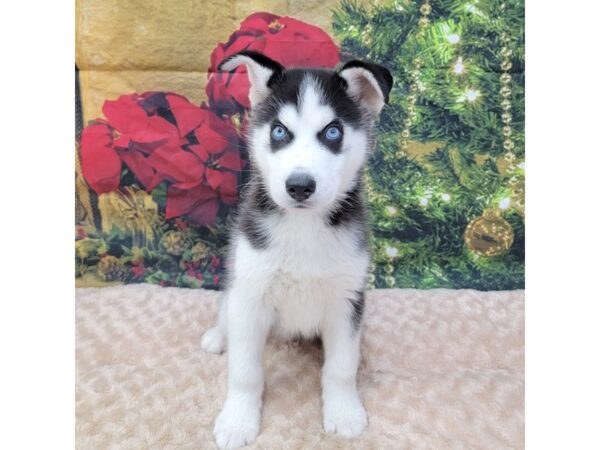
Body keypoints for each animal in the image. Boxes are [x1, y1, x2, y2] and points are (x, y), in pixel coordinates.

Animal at [199, 51, 392, 448]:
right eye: (279, 131)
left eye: (333, 132)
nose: (300, 185)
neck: (304, 227)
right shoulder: (251, 293)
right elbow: (244, 370)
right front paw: (238, 420)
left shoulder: (346, 299)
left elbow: (341, 367)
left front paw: (344, 412)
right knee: (227, 311)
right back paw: (218, 336)